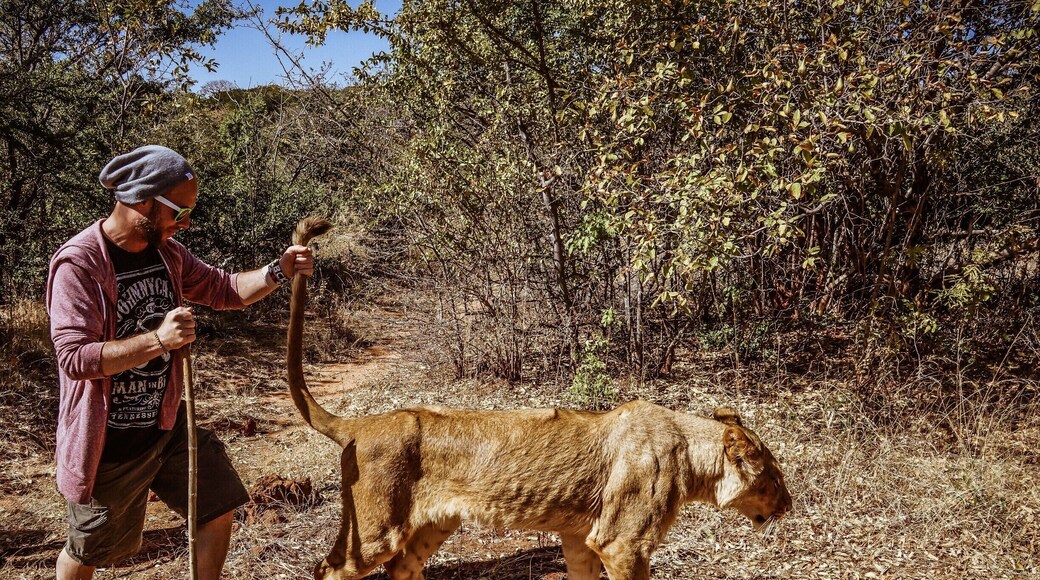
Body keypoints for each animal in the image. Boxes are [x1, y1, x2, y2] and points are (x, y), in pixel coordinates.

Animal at [287, 217, 792, 580]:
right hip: (374, 528)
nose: (788, 507)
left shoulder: (581, 539)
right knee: (331, 569)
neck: (689, 452)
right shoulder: (622, 543)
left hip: (435, 522)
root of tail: (359, 425)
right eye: (773, 477)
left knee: (403, 567)